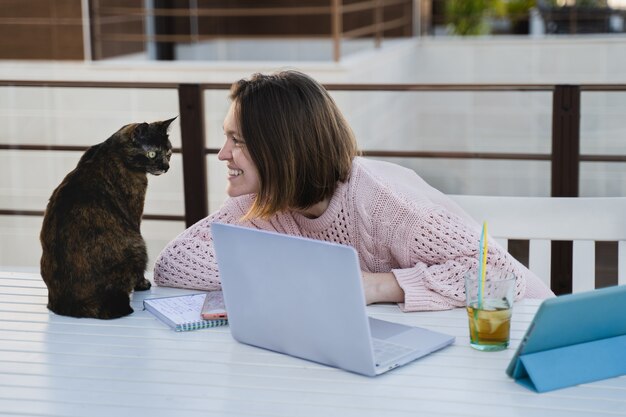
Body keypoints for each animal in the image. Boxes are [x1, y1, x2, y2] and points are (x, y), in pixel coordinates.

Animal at [40, 117, 174, 318]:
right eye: (152, 154)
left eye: (169, 152)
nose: (166, 167)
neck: (112, 149)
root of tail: (69, 304)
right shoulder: (134, 215)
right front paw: (142, 284)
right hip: (138, 246)